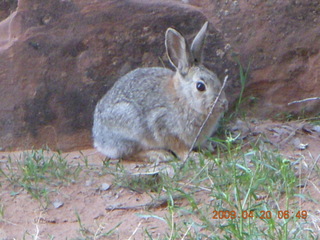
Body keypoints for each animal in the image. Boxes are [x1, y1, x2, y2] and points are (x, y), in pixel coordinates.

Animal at [92, 22, 228, 161]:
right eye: (200, 86)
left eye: (216, 77)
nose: (223, 105)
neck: (184, 98)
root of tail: (98, 139)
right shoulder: (163, 126)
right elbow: (178, 146)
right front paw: (191, 156)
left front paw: (208, 146)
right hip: (129, 125)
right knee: (130, 153)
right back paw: (159, 154)